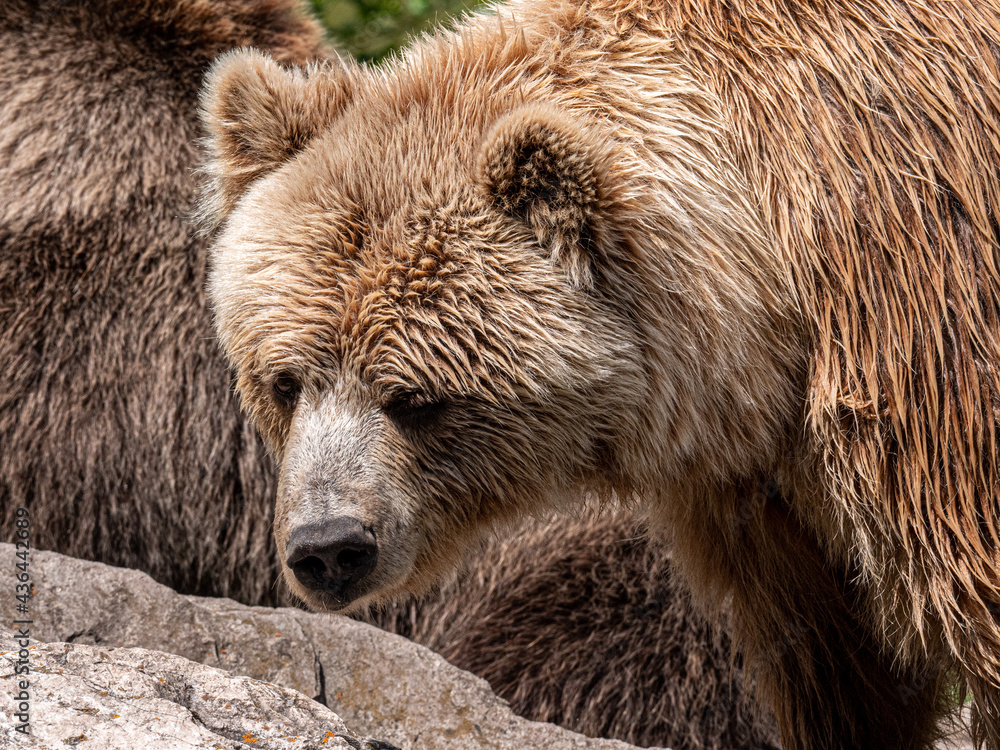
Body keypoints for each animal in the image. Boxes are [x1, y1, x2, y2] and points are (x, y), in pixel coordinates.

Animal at [199, 1, 1000, 748]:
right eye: (286, 380)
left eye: (415, 397)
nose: (329, 547)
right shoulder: (766, 492)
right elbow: (836, 660)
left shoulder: (921, 324)